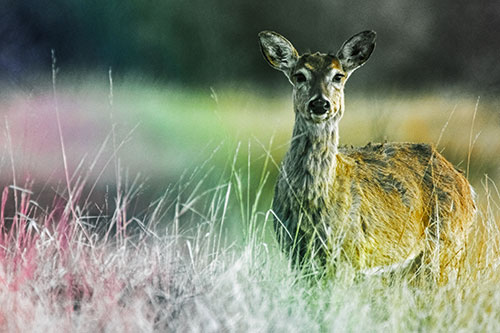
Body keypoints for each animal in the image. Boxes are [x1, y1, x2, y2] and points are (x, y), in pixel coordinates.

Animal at [258, 29, 476, 278]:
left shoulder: (349, 254)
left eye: (338, 76)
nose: (320, 104)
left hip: (446, 247)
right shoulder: (294, 253)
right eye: (299, 76)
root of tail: (466, 186)